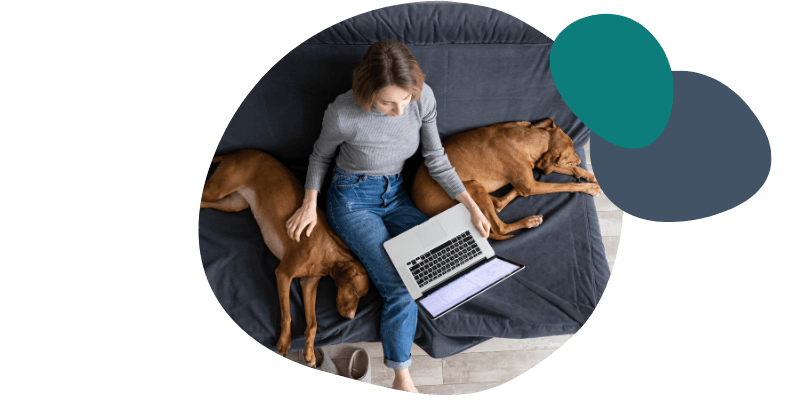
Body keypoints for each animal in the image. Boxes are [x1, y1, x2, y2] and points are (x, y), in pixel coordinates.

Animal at [203, 149, 372, 366]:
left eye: (362, 296)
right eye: (355, 291)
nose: (351, 318)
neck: (327, 253)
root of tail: (241, 151)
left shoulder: (308, 284)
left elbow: (313, 324)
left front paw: (309, 352)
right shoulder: (283, 274)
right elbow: (287, 315)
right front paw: (285, 341)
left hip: (233, 204)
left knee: (205, 204)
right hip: (219, 188)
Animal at [412, 117, 600, 239]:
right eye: (571, 155)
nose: (581, 159)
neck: (526, 138)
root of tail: (422, 208)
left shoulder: (540, 164)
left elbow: (570, 170)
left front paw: (589, 175)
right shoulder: (531, 184)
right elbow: (565, 184)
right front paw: (588, 187)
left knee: (498, 204)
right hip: (472, 187)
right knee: (499, 227)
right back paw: (529, 220)